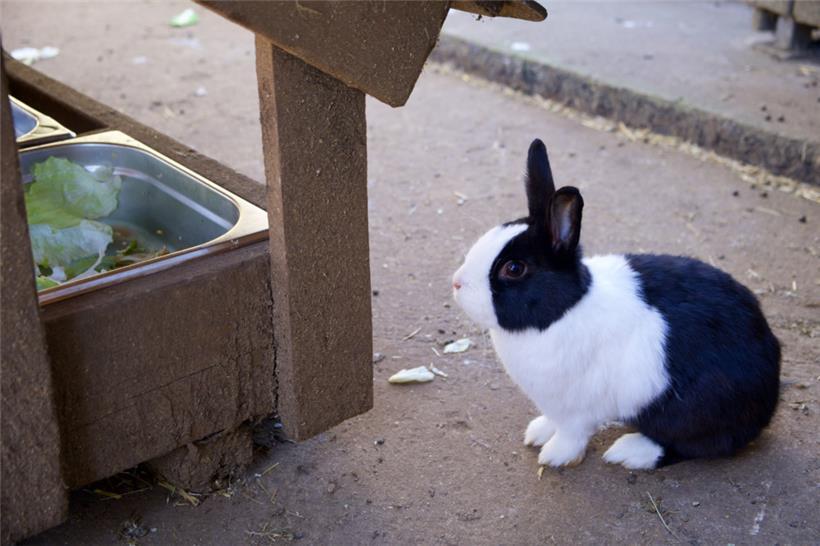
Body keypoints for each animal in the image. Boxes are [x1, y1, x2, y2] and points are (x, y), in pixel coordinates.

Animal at [451, 138, 781, 469]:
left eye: (514, 269)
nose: (457, 283)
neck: (563, 312)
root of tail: (769, 398)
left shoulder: (575, 411)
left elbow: (572, 434)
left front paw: (555, 455)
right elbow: (552, 422)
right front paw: (537, 432)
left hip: (691, 411)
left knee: (694, 445)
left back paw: (629, 452)